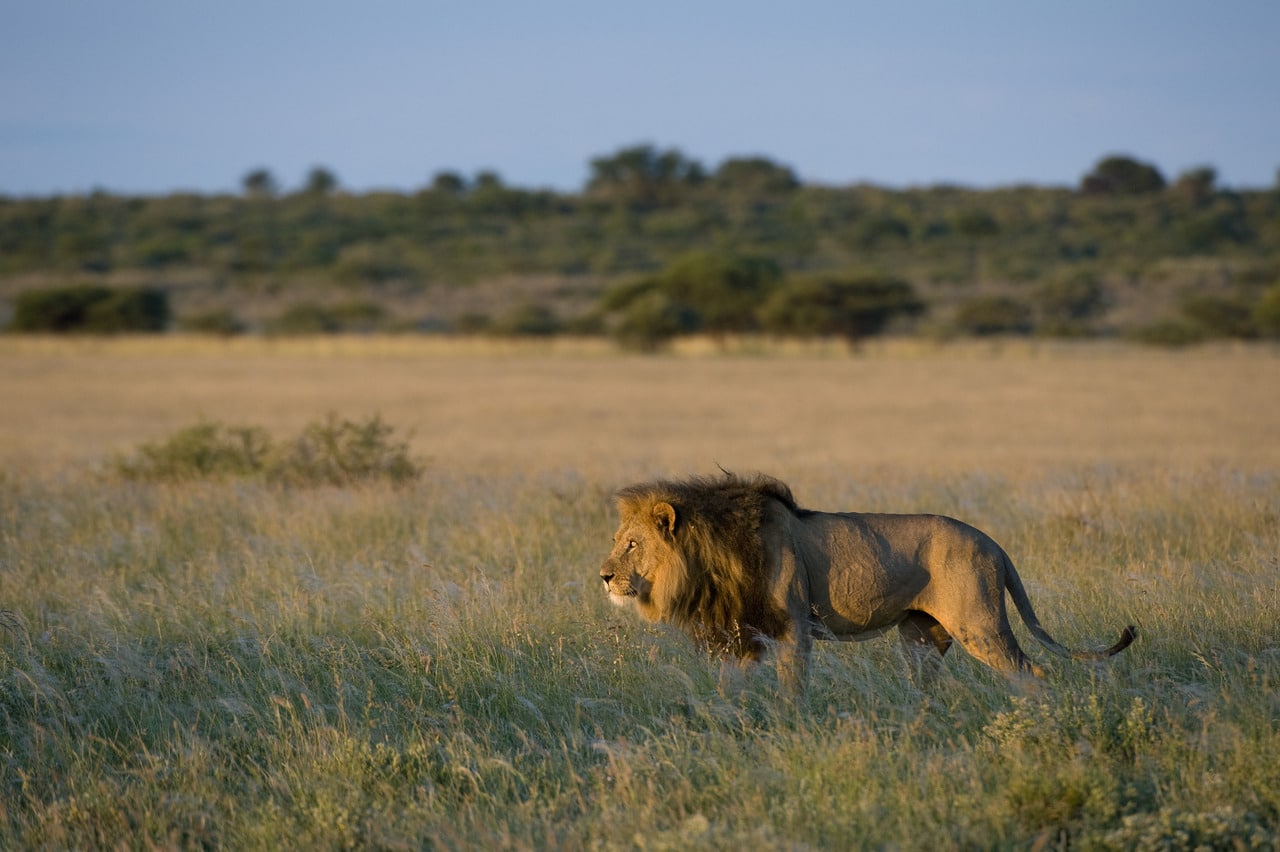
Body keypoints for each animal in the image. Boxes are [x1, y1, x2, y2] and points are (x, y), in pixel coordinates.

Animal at [593, 470, 1136, 690]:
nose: (603, 576)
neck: (710, 558)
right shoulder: (739, 633)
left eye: (632, 545)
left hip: (980, 625)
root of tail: (993, 543)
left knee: (1032, 674)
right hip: (920, 636)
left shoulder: (792, 627)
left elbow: (792, 689)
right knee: (925, 685)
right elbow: (730, 691)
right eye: (618, 539)